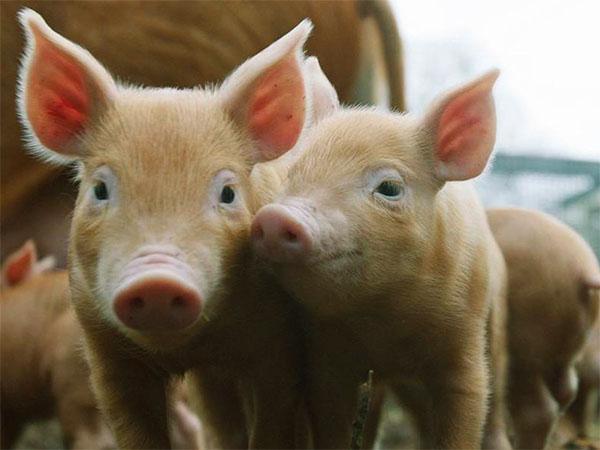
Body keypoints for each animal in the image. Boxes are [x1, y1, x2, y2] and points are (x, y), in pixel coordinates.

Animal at [250, 68, 510, 448]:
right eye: (292, 176)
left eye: (389, 188)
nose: (277, 218)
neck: (386, 322)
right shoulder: (326, 359)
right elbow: (331, 422)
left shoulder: (463, 345)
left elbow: (466, 412)